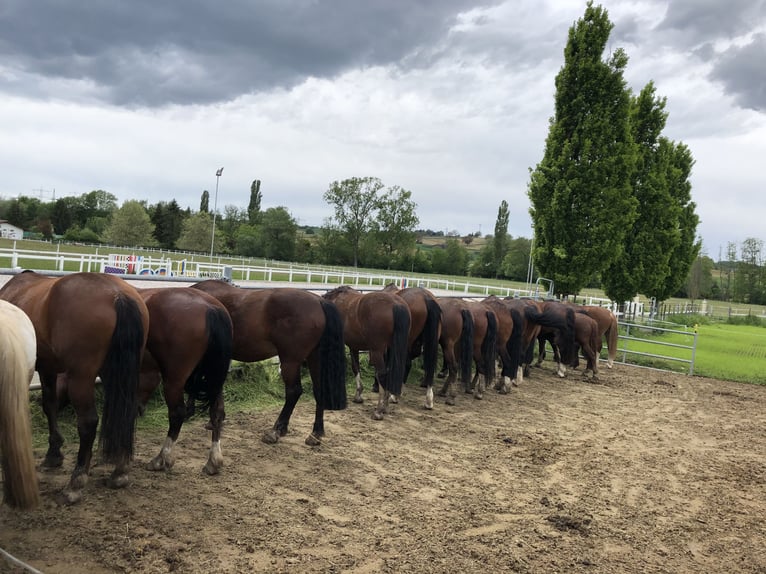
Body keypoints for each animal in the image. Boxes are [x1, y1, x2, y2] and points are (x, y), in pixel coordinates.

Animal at [0, 272, 149, 506]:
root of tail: (118, 295)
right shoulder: (48, 368)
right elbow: (50, 405)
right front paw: (54, 453)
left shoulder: (46, 369)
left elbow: (49, 406)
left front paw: (54, 453)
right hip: (118, 373)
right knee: (127, 411)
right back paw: (120, 471)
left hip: (81, 377)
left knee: (88, 422)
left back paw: (75, 483)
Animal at [137, 288, 234, 476]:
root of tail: (211, 308)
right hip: (214, 378)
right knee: (217, 411)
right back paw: (214, 460)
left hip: (174, 380)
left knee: (177, 413)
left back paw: (162, 458)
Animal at [192, 282, 348, 448]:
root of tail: (319, 301)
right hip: (315, 358)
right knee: (319, 391)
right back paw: (315, 433)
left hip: (290, 361)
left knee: (293, 392)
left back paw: (276, 431)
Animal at [320, 286, 412, 420]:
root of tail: (396, 305)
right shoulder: (355, 346)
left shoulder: (350, 346)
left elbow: (354, 367)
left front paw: (358, 395)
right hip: (391, 349)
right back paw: (386, 406)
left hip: (377, 351)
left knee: (382, 374)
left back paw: (379, 410)